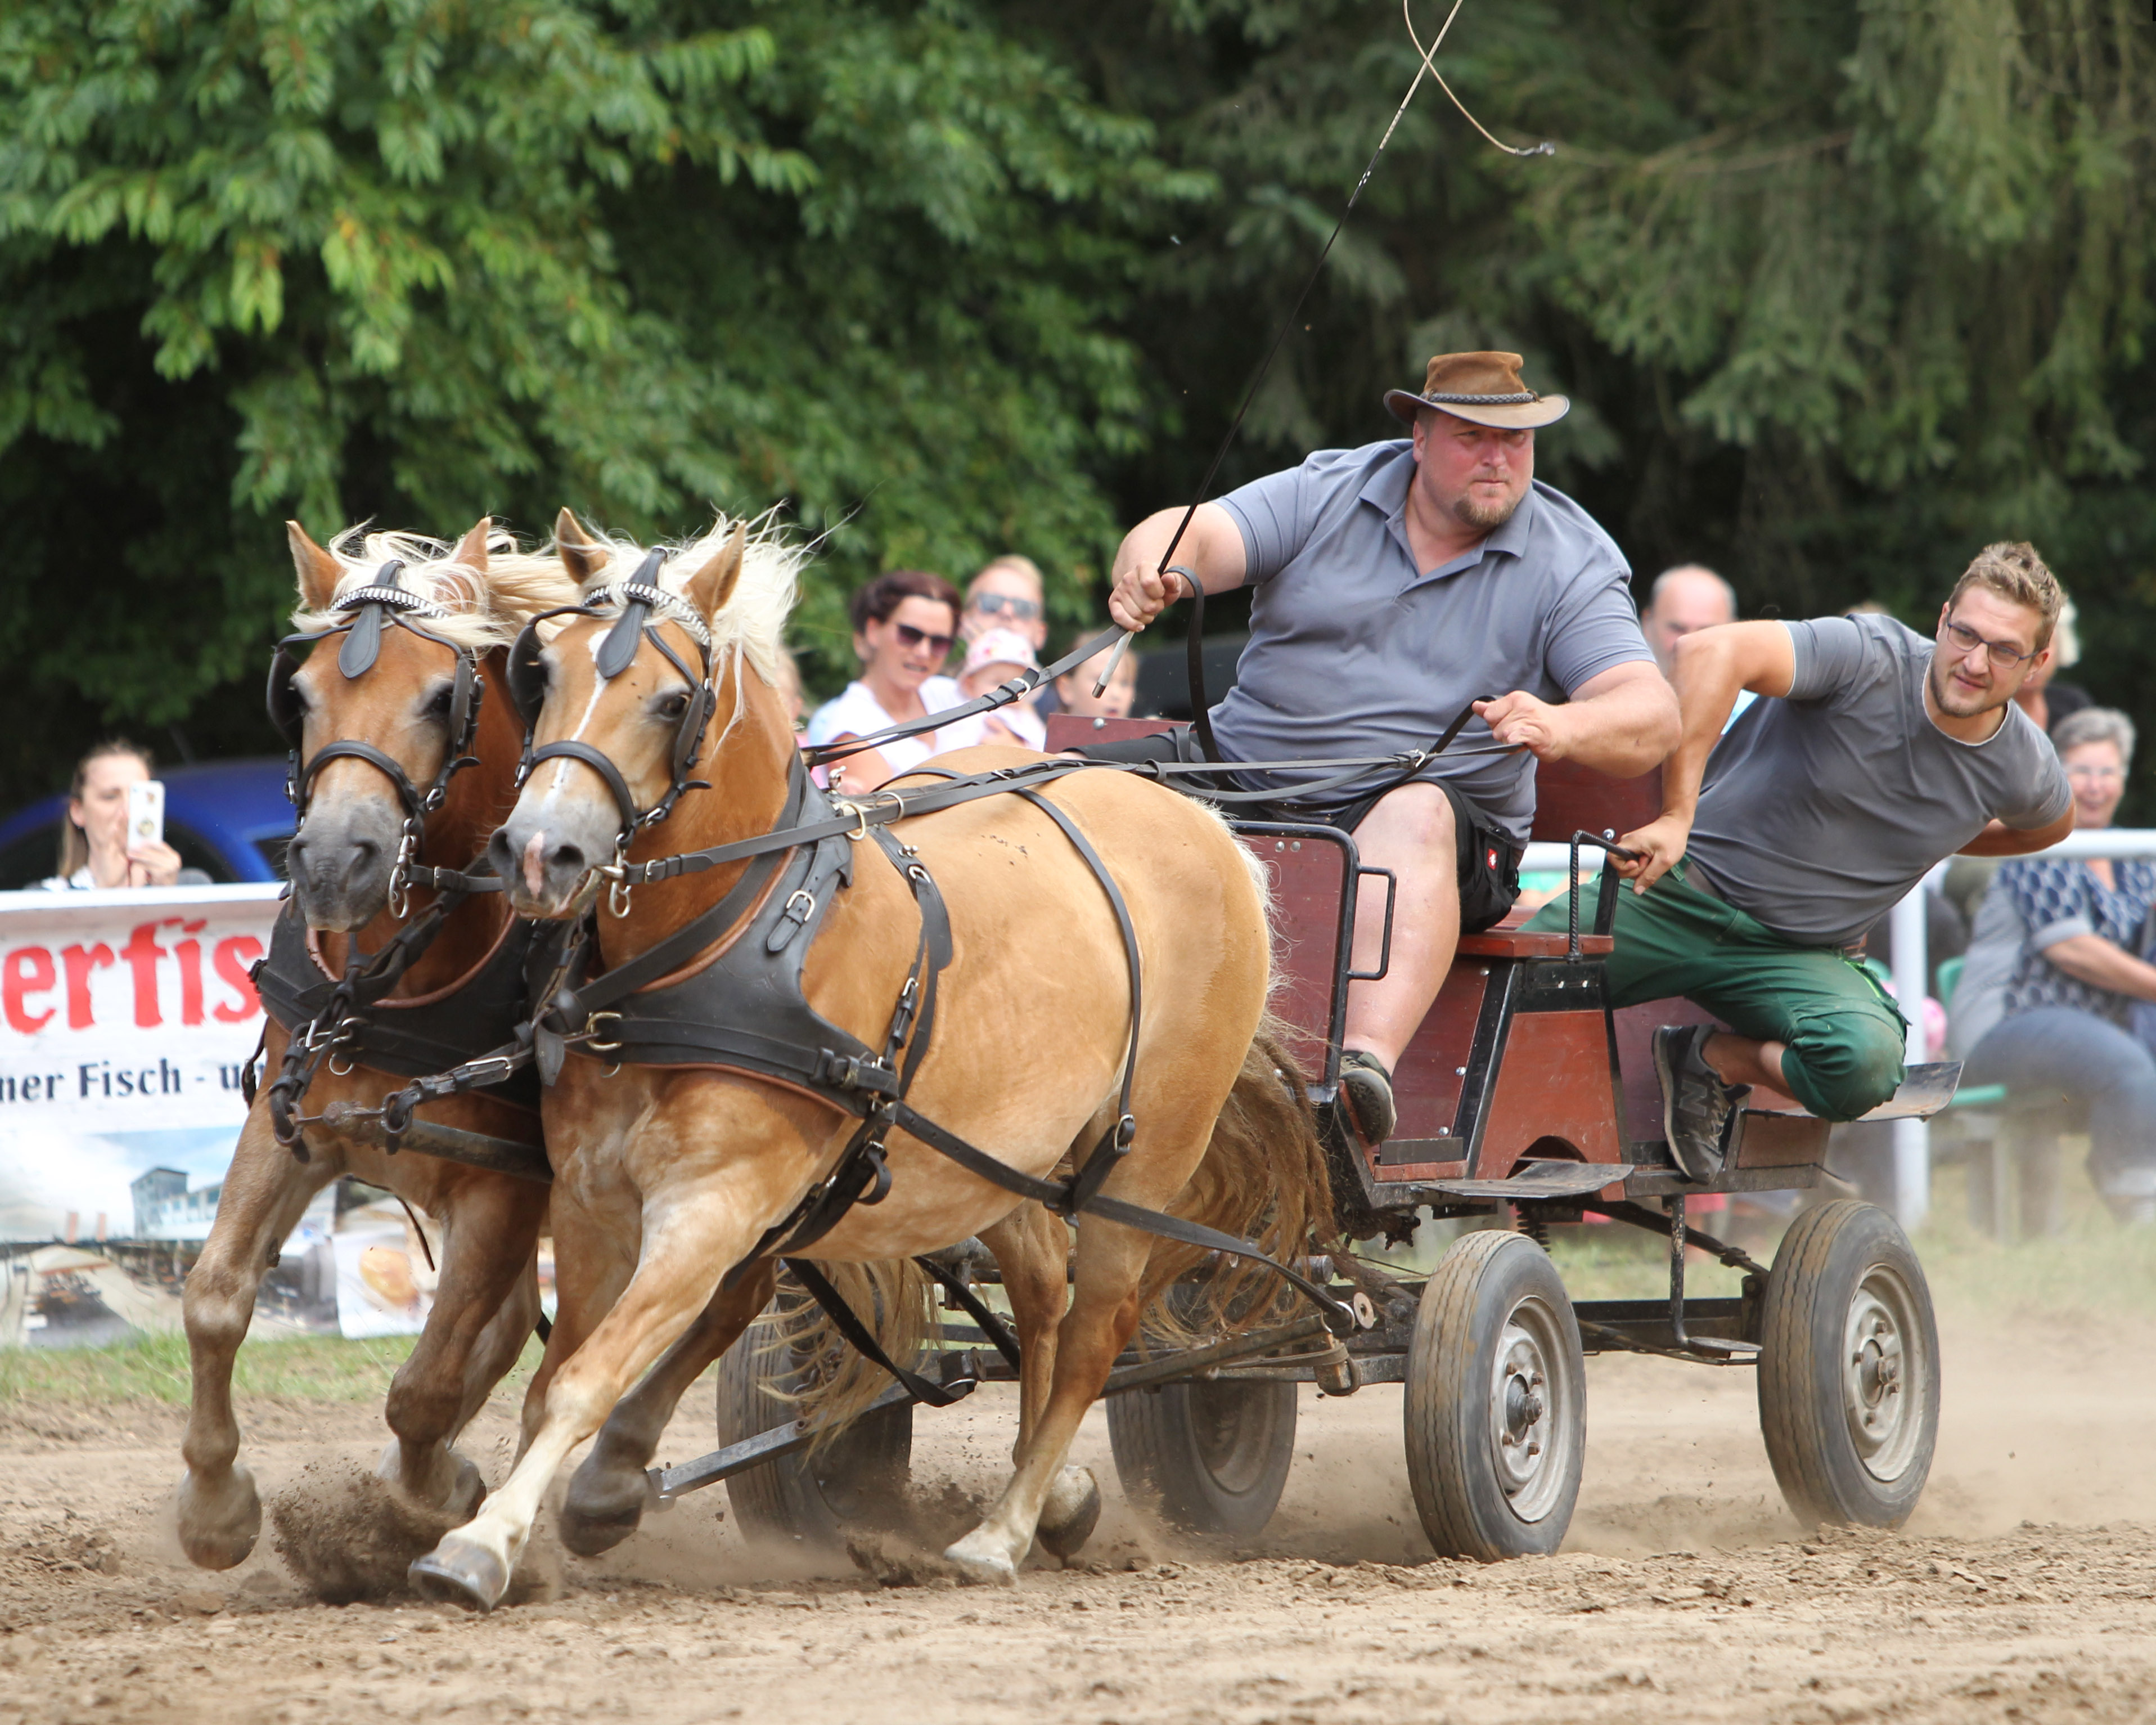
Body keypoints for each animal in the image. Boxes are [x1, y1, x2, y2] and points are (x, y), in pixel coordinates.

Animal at [177, 519, 578, 1570]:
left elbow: (425, 1383)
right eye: (303, 691)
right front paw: (214, 1510)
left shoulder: (503, 1189)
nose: (330, 863)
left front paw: (423, 1500)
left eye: (443, 697)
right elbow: (216, 1296)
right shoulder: (292, 1127)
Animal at [397, 515, 1319, 1604]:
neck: (721, 946)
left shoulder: (712, 1205)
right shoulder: (590, 1203)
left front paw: (482, 1544)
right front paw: (569, 1508)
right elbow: (554, 1384)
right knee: (1041, 1298)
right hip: (992, 1161)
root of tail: (1203, 822)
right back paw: (1049, 1492)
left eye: (671, 700)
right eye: (543, 674)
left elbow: (590, 1375)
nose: (542, 853)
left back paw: (1002, 1530)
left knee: (1097, 1330)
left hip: (1139, 1164)